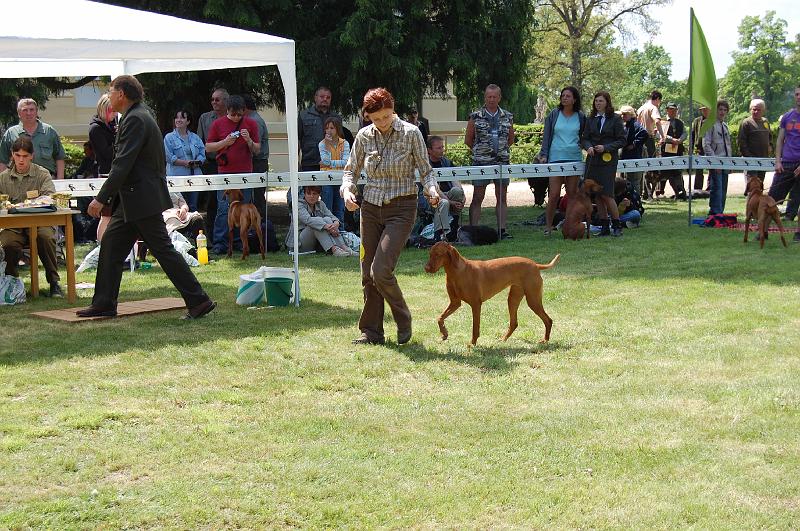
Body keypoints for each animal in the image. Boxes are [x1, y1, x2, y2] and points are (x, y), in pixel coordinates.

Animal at [422, 242, 560, 350]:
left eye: (438, 254)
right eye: (430, 254)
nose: (426, 268)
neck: (456, 273)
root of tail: (535, 265)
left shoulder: (476, 305)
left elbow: (475, 328)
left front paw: (472, 344)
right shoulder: (455, 303)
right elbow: (440, 318)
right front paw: (444, 333)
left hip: (532, 300)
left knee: (548, 320)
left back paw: (545, 340)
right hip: (513, 299)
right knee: (514, 323)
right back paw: (504, 339)